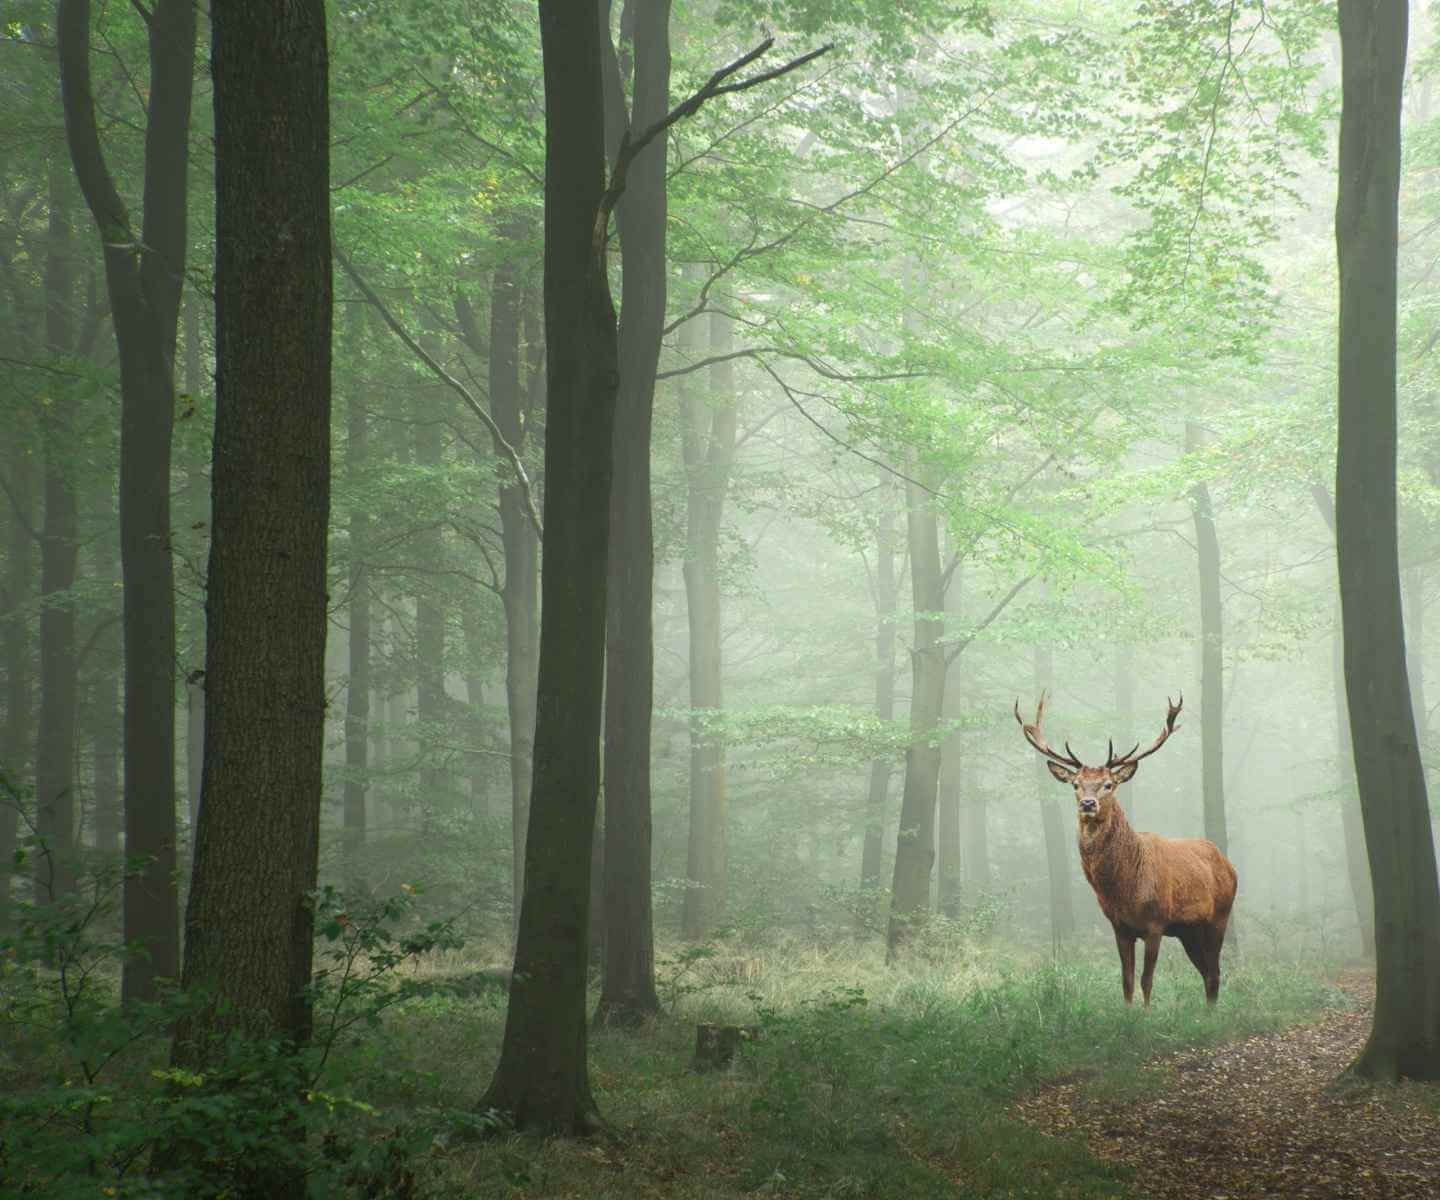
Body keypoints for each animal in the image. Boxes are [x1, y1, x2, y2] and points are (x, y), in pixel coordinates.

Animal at [1015, 694, 1237, 1007]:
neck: (1125, 888)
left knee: (1215, 972)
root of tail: (1229, 865)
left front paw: (1145, 1014)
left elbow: (1146, 980)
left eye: (1109, 784)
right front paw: (1128, 1012)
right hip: (1188, 931)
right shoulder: (1119, 927)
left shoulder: (1156, 923)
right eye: (1075, 784)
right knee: (1207, 973)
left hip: (1220, 916)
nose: (1088, 803)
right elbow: (1127, 981)